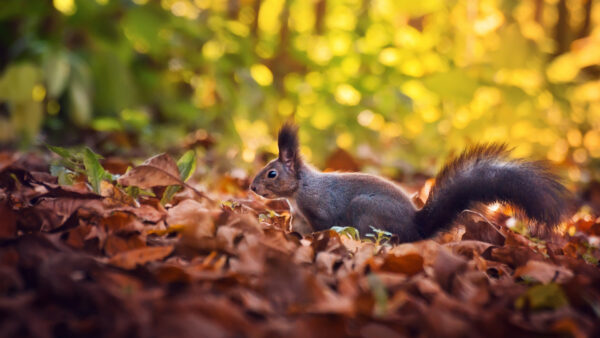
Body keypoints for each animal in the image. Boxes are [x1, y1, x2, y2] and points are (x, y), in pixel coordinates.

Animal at [251, 124, 568, 243]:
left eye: (272, 174)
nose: (253, 188)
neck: (300, 192)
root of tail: (416, 227)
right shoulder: (298, 217)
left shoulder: (321, 209)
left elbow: (324, 225)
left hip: (367, 211)